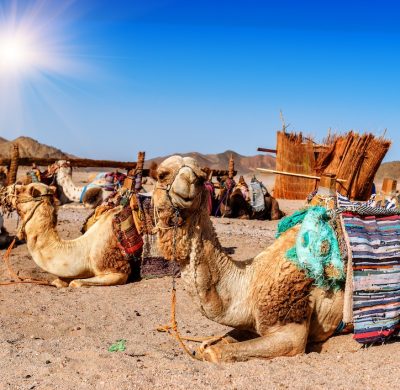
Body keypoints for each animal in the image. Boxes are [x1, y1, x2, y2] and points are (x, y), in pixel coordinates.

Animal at [153, 155, 344, 362]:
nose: (187, 186)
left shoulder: (291, 326)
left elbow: (216, 353)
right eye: (161, 175)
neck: (251, 282)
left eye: (202, 178)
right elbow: (217, 342)